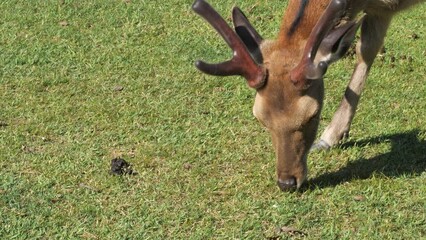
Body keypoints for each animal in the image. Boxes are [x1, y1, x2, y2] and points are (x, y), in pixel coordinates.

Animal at [191, 0, 424, 191]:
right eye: (261, 119)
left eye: (313, 115)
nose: (287, 183)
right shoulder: (380, 11)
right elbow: (366, 50)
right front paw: (331, 138)